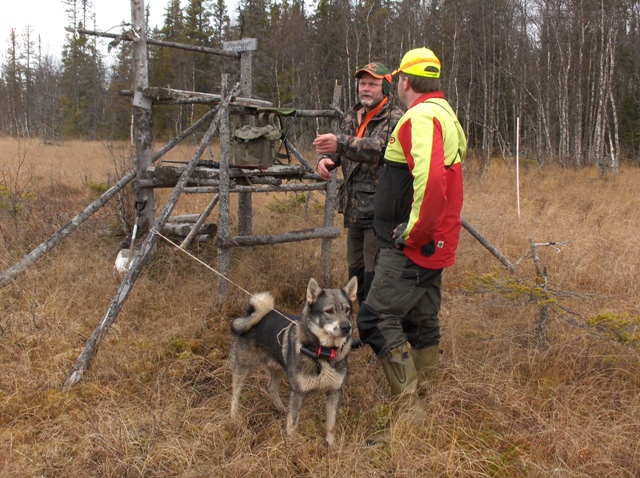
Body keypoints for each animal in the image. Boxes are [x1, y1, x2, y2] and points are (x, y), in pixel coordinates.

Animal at [230, 276, 360, 444]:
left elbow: (331, 425)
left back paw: (281, 408)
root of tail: (249, 315)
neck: (322, 352)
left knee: (271, 387)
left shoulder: (334, 391)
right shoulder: (298, 392)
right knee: (235, 394)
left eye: (347, 310)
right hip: (242, 368)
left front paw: (332, 446)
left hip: (277, 368)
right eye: (329, 311)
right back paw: (234, 417)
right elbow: (293, 423)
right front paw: (292, 443)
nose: (347, 327)